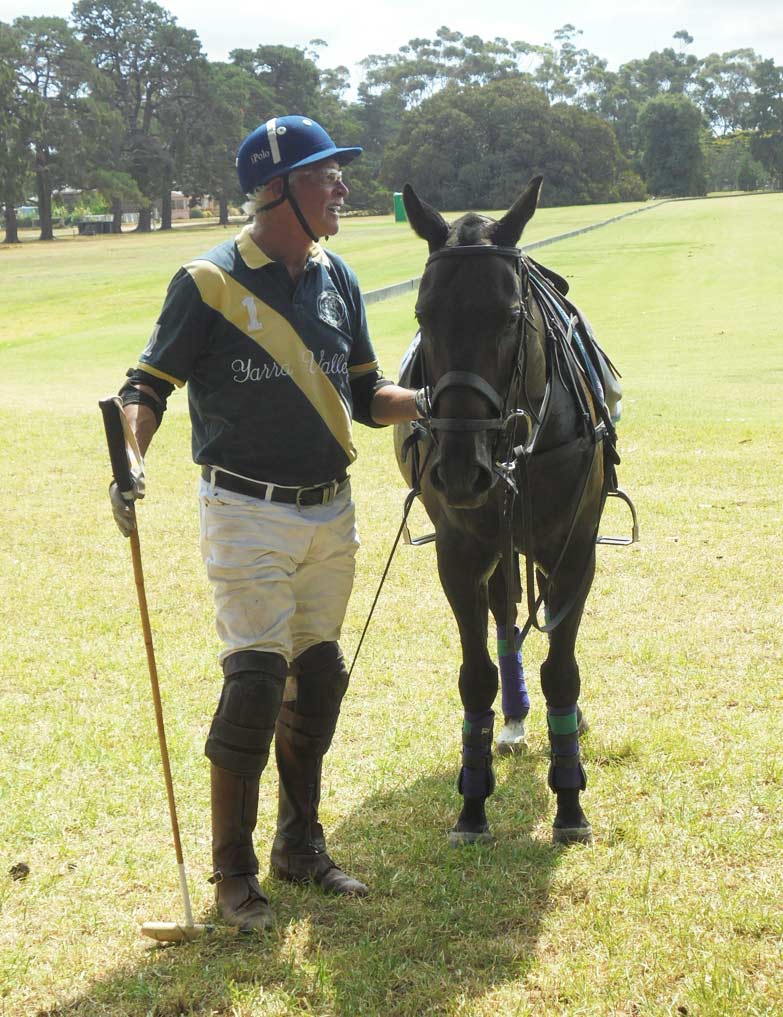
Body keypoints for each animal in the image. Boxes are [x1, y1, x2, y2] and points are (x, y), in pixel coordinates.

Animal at [394, 176, 623, 846]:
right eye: (424, 315)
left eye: (510, 316)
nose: (459, 469)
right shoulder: (459, 553)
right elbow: (475, 674)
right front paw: (472, 803)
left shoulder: (573, 551)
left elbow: (562, 670)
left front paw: (570, 801)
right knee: (503, 616)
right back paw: (515, 718)